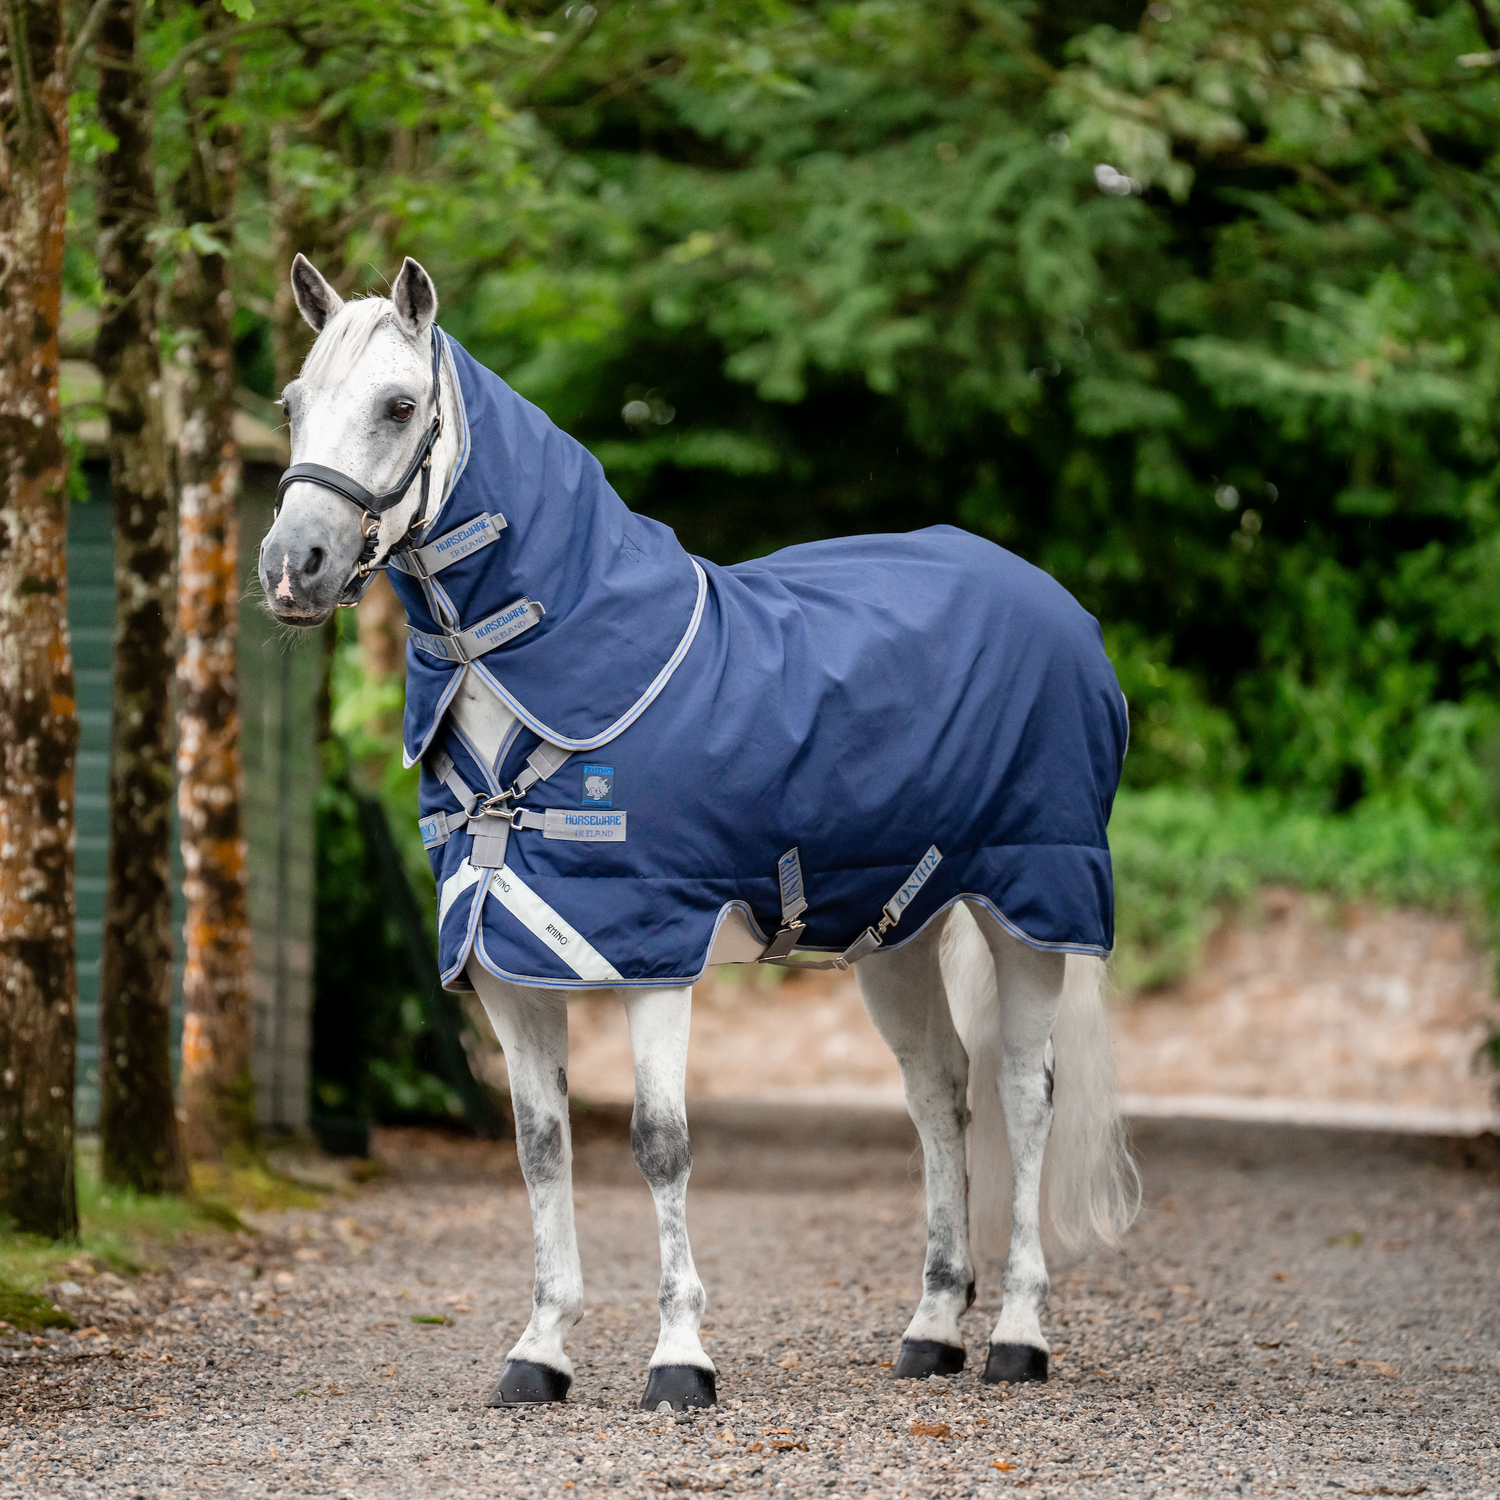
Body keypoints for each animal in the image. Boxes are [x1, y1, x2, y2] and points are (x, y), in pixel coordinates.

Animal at [260, 254, 1140, 1412]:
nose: (293, 567)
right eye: (293, 403)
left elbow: (660, 1144)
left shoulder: (650, 955)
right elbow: (541, 1148)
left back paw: (1017, 1338)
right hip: (897, 934)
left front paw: (680, 1357)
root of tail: (1059, 608)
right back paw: (932, 1330)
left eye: (399, 406)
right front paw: (539, 1351)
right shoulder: (504, 962)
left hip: (1031, 909)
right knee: (938, 1094)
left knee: (1024, 1096)